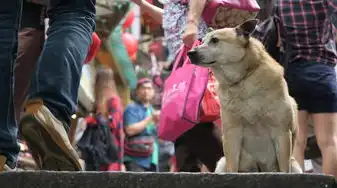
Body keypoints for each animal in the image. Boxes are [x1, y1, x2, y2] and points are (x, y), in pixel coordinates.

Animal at [188, 19, 300, 173]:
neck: (242, 80)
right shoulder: (231, 133)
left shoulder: (281, 132)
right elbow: (232, 167)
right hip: (221, 163)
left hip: (295, 165)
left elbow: (284, 168)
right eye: (202, 41)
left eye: (215, 40)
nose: (190, 53)